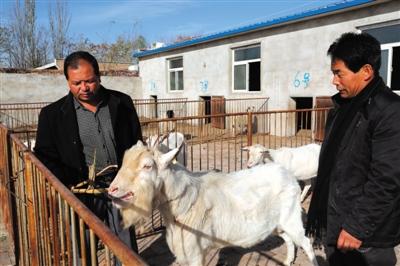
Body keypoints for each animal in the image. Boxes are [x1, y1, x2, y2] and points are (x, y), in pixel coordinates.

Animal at [107, 141, 318, 266]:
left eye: (147, 166)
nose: (112, 190)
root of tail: (287, 174)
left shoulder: (195, 252)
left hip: (291, 217)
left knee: (306, 243)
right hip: (277, 223)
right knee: (289, 240)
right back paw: (288, 260)